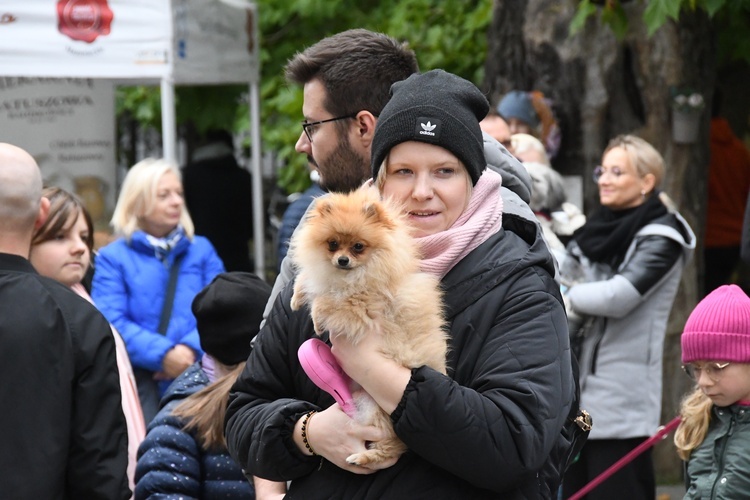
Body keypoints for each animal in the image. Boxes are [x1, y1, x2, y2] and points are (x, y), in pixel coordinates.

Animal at [290, 186, 450, 466]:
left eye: (358, 247)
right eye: (333, 244)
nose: (342, 260)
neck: (351, 277)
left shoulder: (361, 307)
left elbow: (326, 302)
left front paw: (317, 319)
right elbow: (308, 279)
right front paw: (296, 298)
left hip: (378, 408)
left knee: (391, 448)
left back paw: (362, 458)